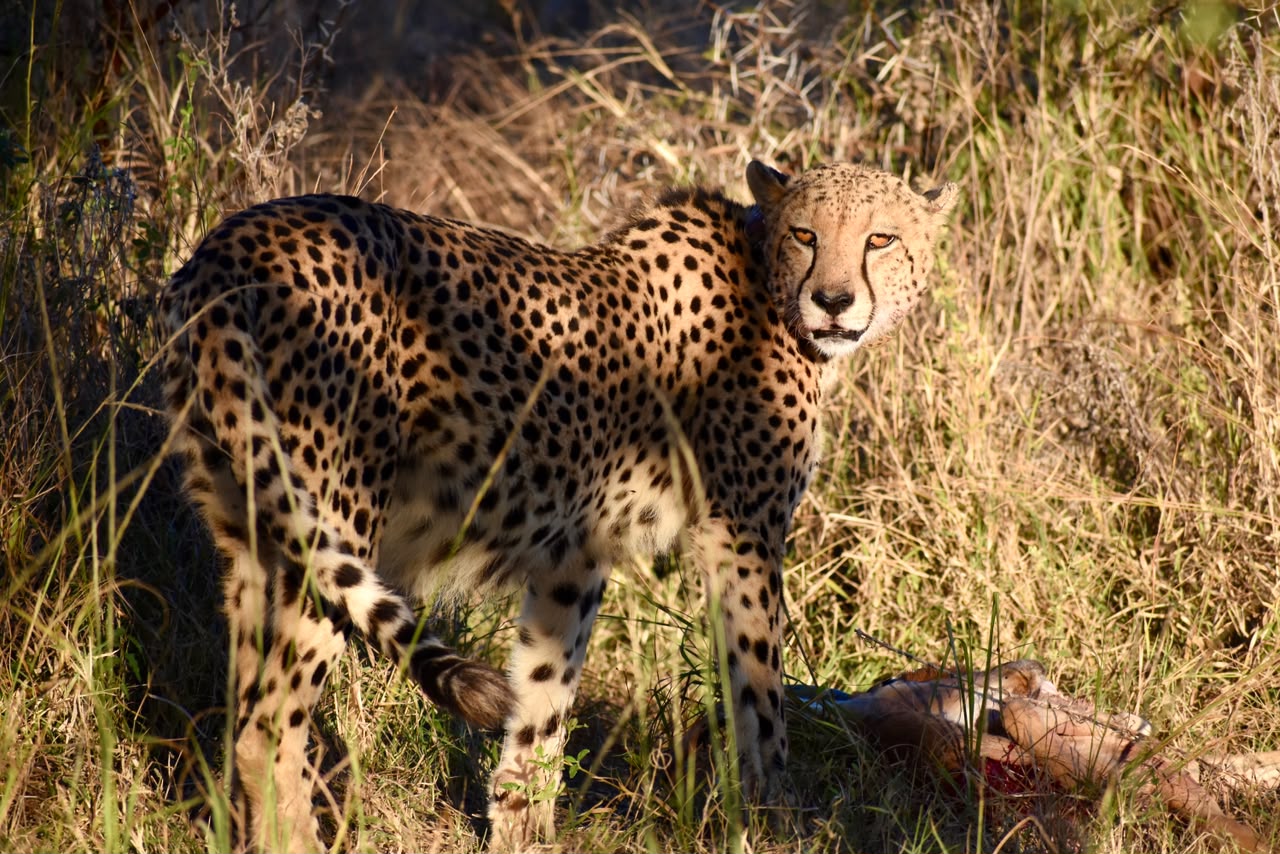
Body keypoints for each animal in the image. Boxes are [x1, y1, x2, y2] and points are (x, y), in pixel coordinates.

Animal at [158, 159, 958, 852]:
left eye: (880, 238)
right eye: (806, 235)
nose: (834, 302)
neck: (765, 282)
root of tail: (237, 237)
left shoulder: (575, 556)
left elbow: (544, 698)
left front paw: (524, 830)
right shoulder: (741, 536)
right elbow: (761, 697)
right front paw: (781, 822)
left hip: (251, 535)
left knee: (241, 711)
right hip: (331, 520)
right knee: (268, 729)